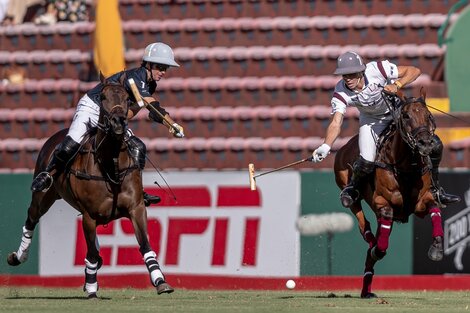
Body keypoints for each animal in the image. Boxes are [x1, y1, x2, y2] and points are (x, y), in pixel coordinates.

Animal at [7, 81, 173, 296]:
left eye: (128, 99)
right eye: (102, 97)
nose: (118, 122)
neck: (110, 165)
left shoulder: (136, 208)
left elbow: (144, 244)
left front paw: (160, 280)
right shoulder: (89, 215)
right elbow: (92, 253)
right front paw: (92, 287)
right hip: (42, 197)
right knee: (31, 218)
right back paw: (18, 256)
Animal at [334, 89, 440, 298]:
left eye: (428, 115)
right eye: (406, 116)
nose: (425, 144)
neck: (406, 165)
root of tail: (344, 146)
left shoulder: (421, 203)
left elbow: (435, 209)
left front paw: (436, 247)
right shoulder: (383, 203)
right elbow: (381, 248)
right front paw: (377, 249)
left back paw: (366, 290)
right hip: (346, 184)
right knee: (358, 214)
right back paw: (369, 239)